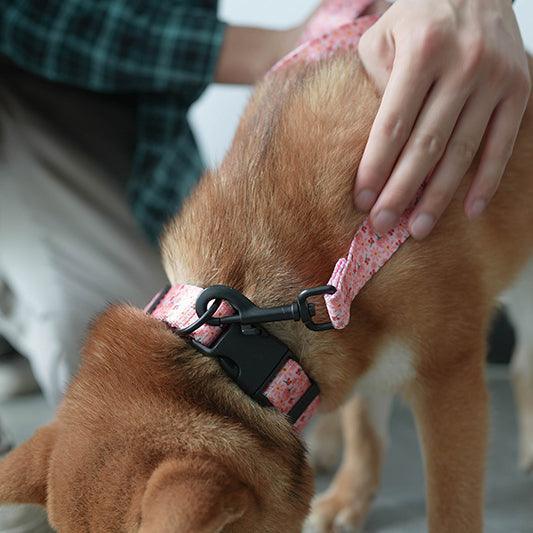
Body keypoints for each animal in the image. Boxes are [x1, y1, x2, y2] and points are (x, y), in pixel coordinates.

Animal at [1, 38, 532, 532]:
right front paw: (350, 496)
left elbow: (450, 505)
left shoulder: (447, 374)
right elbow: (367, 431)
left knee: (523, 361)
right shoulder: (359, 351)